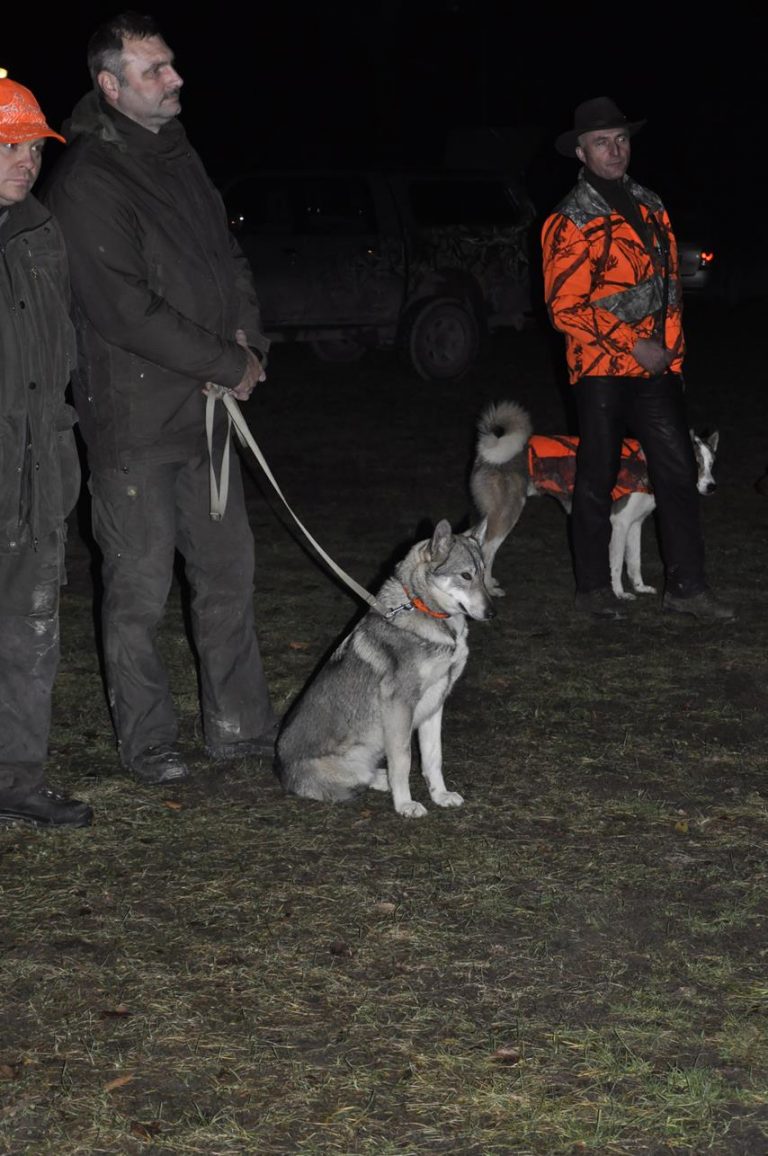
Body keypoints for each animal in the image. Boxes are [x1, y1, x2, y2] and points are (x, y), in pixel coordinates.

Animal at [467, 395, 721, 596]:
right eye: (695, 465)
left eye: (711, 464)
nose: (711, 487)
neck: (647, 467)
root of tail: (486, 452)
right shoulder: (619, 524)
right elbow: (616, 564)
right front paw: (619, 594)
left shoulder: (635, 524)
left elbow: (634, 562)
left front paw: (640, 588)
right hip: (507, 513)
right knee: (487, 550)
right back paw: (488, 588)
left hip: (493, 514)